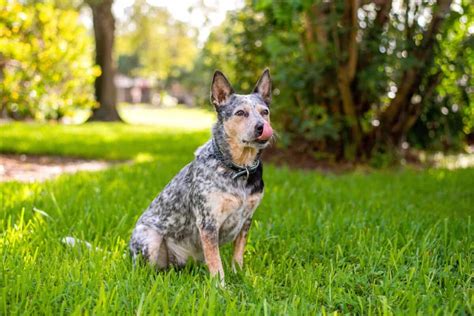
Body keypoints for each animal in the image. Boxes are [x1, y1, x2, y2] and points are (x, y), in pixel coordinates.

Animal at [129, 68, 274, 282]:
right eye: (240, 113)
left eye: (265, 112)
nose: (262, 127)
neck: (239, 169)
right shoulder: (208, 222)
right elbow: (215, 262)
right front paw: (220, 286)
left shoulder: (247, 219)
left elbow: (238, 254)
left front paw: (240, 275)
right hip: (149, 238)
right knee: (144, 269)